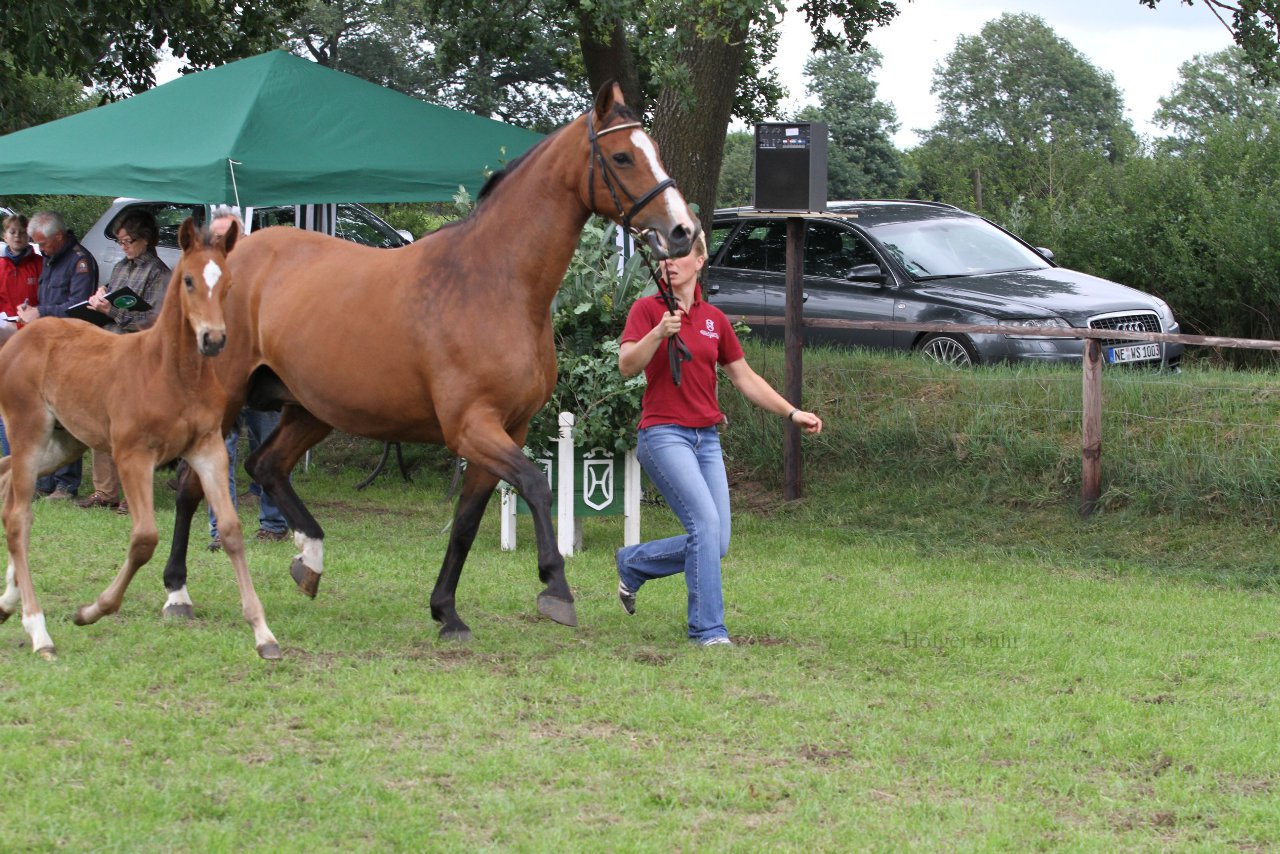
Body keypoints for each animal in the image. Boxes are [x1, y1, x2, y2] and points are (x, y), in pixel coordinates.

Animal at [0, 220, 280, 660]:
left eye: (229, 282)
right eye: (188, 280)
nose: (214, 339)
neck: (170, 373)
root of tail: (21, 338)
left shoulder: (208, 449)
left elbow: (232, 531)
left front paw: (263, 634)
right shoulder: (133, 455)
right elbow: (145, 538)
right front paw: (92, 610)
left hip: (65, 442)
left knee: (7, 484)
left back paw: (8, 603)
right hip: (28, 430)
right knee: (18, 516)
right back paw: (38, 630)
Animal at [162, 80, 701, 640]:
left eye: (653, 150)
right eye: (621, 156)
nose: (683, 231)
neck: (493, 282)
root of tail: (220, 258)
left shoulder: (507, 430)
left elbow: (466, 522)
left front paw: (446, 611)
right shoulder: (471, 427)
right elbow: (536, 485)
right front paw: (555, 587)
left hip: (309, 409)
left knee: (266, 466)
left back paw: (309, 559)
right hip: (227, 401)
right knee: (192, 486)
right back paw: (178, 593)